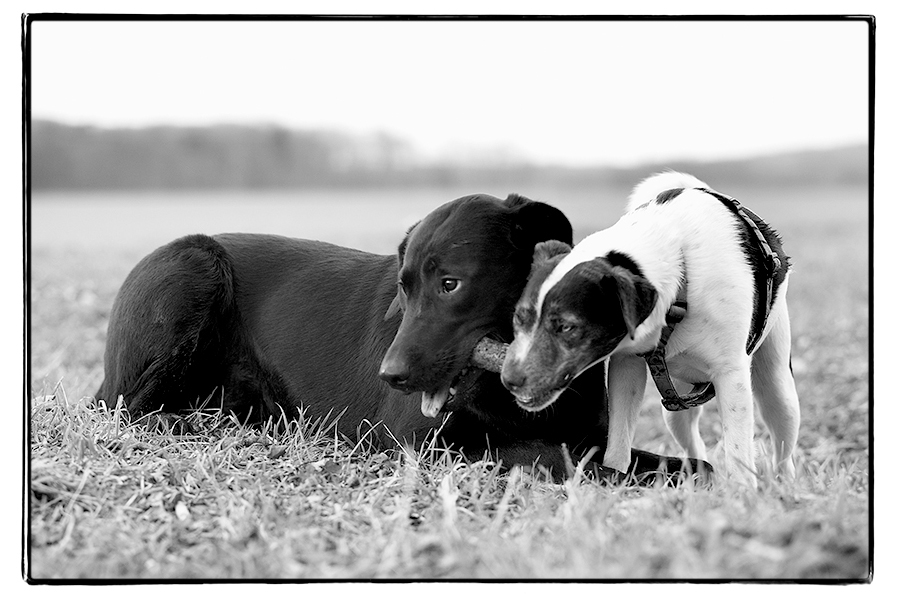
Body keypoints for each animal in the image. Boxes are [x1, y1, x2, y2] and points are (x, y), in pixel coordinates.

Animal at [96, 195, 704, 480]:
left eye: (450, 284)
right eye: (404, 287)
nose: (392, 375)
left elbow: (662, 463)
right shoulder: (425, 444)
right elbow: (558, 457)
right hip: (194, 266)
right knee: (127, 410)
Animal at [500, 171, 800, 486]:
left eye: (567, 327)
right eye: (518, 318)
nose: (509, 380)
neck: (681, 266)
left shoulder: (732, 376)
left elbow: (739, 449)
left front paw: (742, 491)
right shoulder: (627, 366)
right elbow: (618, 440)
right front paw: (616, 480)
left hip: (779, 389)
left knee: (782, 446)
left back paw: (786, 484)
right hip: (675, 410)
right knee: (694, 443)